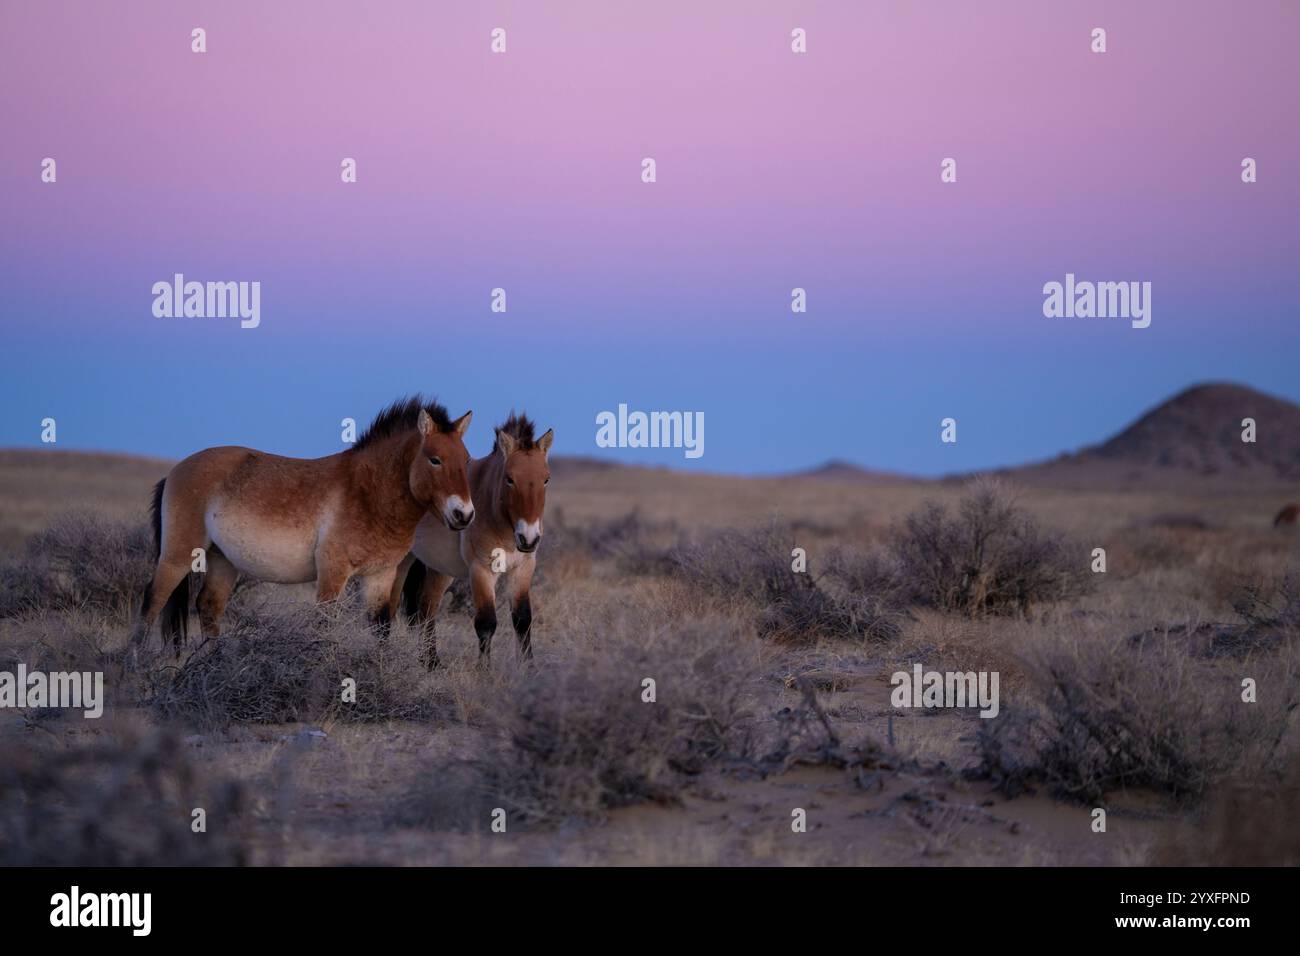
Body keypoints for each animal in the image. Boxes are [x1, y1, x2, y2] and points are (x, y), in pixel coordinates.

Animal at [131, 392, 475, 655]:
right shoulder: (333, 571)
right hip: (179, 555)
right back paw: (134, 665)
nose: (464, 515)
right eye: (435, 460)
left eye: (467, 461)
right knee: (152, 600)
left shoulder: (380, 576)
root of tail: (176, 470)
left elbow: (381, 629)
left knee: (208, 607)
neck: (368, 492)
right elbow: (325, 627)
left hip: (222, 560)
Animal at [400, 413, 553, 671]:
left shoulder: (523, 568)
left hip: (439, 569)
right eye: (509, 479)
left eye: (546, 479)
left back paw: (431, 662)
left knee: (427, 606)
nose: (529, 538)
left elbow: (523, 619)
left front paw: (529, 669)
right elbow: (486, 623)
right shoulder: (481, 570)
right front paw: (484, 671)